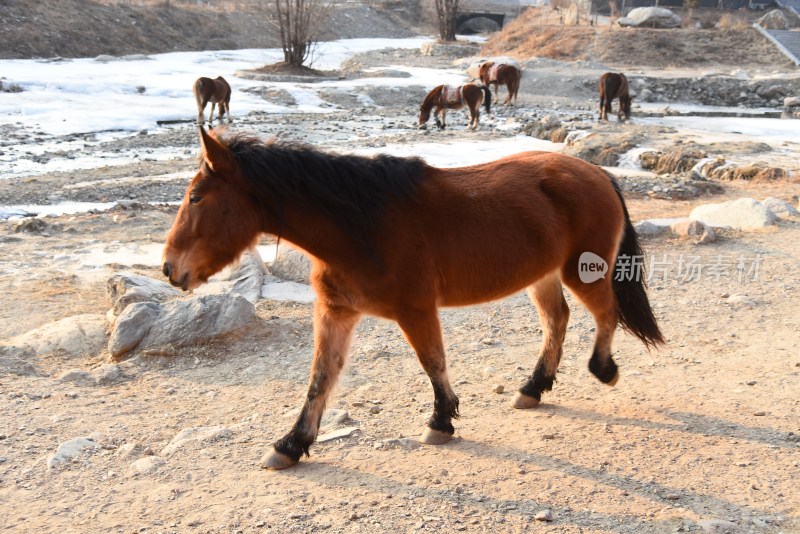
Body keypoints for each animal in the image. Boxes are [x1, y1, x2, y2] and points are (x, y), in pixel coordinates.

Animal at [161, 127, 664, 472]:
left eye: (196, 197)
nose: (169, 268)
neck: (361, 225)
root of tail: (597, 172)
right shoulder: (336, 312)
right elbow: (321, 378)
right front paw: (291, 444)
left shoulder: (415, 309)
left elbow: (433, 362)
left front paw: (441, 422)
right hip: (542, 276)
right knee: (557, 320)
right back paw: (532, 388)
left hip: (583, 272)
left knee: (605, 313)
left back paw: (603, 369)